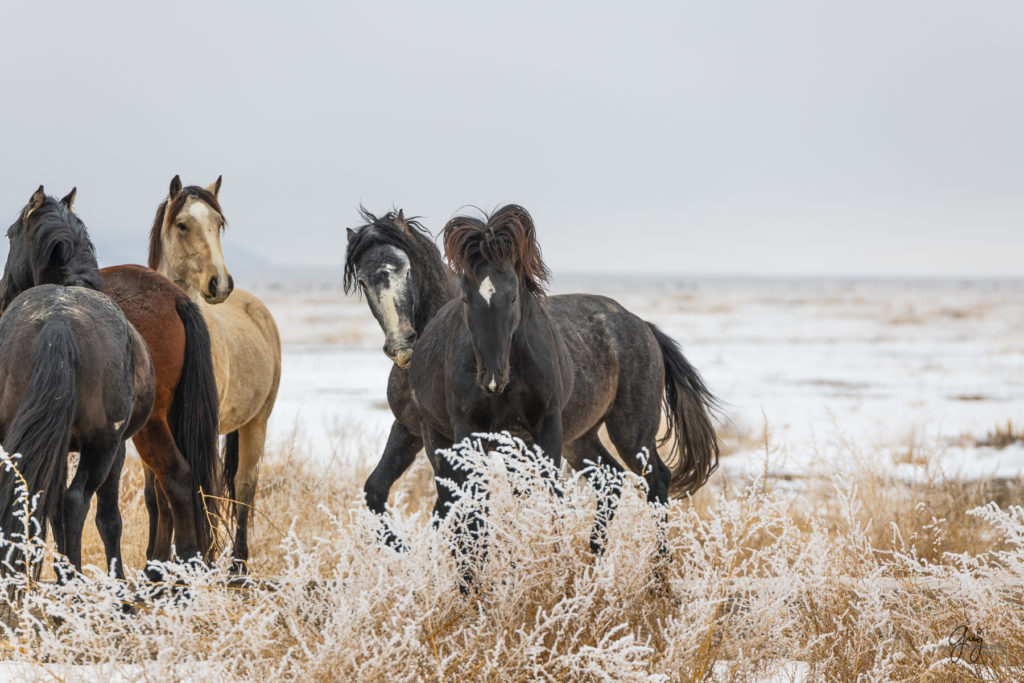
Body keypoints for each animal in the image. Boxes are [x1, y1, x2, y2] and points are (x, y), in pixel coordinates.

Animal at [0, 185, 153, 577]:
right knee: (75, 502)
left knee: (44, 499)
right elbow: (107, 518)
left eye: (9, 234)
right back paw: (72, 578)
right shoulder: (116, 448)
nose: (4, 291)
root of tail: (58, 321)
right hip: (102, 447)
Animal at [147, 176, 280, 573]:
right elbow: (156, 495)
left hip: (257, 422)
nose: (219, 284)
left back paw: (237, 565)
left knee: (244, 485)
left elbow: (201, 489)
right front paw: (154, 563)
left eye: (219, 224)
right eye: (182, 224)